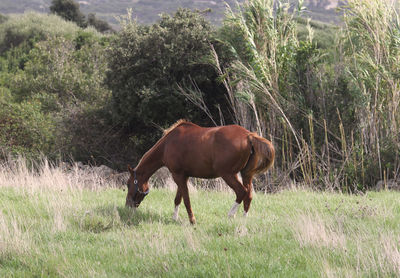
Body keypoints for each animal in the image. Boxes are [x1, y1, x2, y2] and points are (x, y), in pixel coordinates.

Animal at [126, 119, 276, 224]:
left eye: (128, 184)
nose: (128, 205)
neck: (167, 144)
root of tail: (249, 136)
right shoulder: (182, 176)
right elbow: (178, 198)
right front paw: (174, 217)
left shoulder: (178, 175)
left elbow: (186, 199)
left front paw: (192, 220)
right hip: (246, 174)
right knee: (248, 196)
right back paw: (243, 219)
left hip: (228, 175)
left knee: (241, 192)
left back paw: (230, 214)